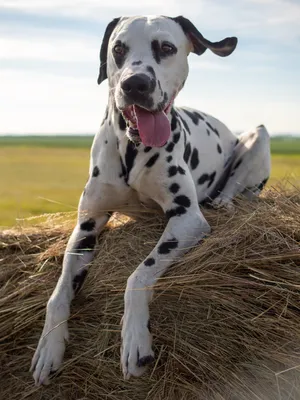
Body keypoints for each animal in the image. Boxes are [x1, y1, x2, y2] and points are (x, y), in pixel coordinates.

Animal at [29, 14, 270, 384]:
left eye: (166, 47)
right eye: (118, 49)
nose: (136, 84)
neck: (133, 148)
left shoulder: (187, 219)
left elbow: (137, 275)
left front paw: (134, 340)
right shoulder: (86, 226)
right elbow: (57, 295)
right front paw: (48, 347)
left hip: (258, 136)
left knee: (235, 192)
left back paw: (225, 203)